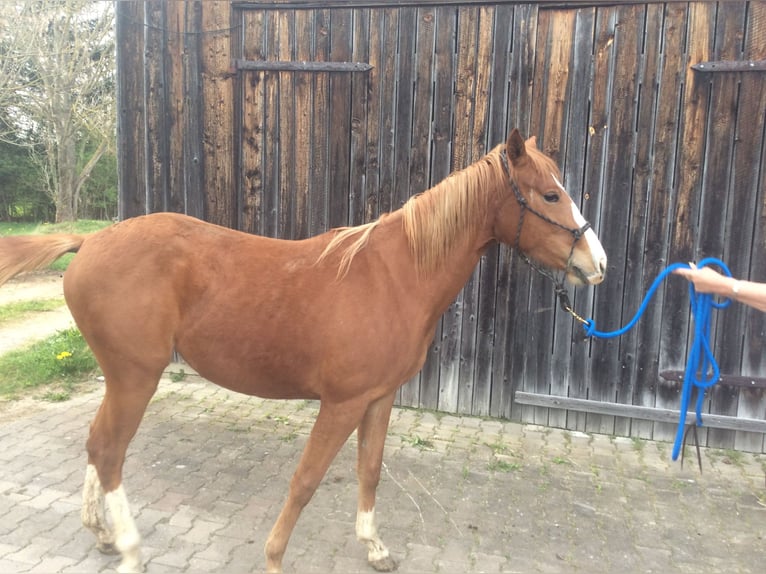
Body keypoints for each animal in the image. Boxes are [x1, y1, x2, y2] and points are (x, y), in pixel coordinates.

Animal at [0, 130, 608, 574]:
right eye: (550, 194)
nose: (596, 264)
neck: (395, 276)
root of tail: (90, 241)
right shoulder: (341, 404)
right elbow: (307, 480)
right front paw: (273, 558)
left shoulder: (379, 399)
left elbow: (370, 471)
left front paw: (375, 547)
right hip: (136, 377)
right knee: (110, 452)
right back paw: (127, 546)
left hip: (122, 375)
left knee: (96, 444)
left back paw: (101, 534)